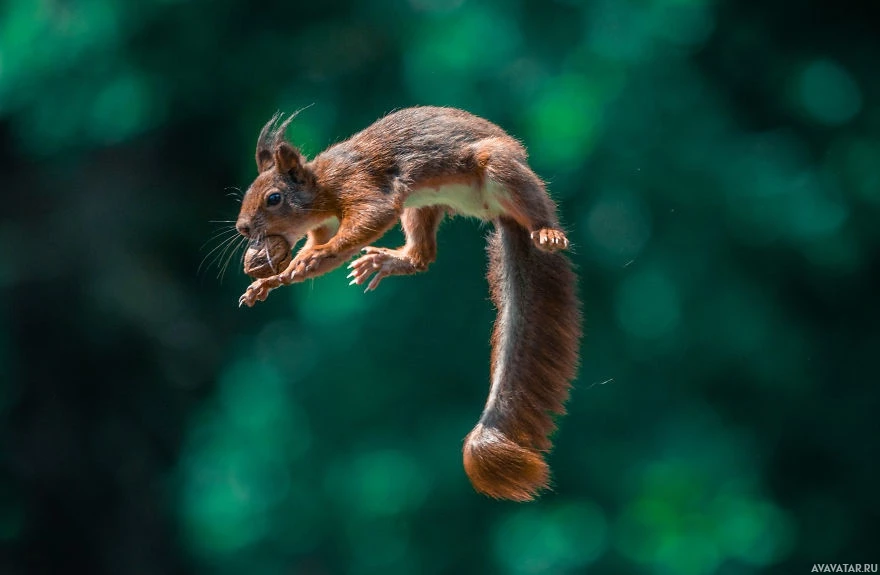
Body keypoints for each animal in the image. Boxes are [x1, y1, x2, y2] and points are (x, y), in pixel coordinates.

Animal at [234, 106, 584, 502]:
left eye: (273, 198)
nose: (243, 228)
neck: (321, 184)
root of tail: (500, 213)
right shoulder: (323, 225)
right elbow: (318, 252)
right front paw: (270, 280)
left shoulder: (359, 185)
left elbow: (365, 220)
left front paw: (308, 259)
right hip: (422, 207)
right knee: (422, 256)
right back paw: (390, 261)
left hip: (500, 168)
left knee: (536, 207)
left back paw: (547, 231)